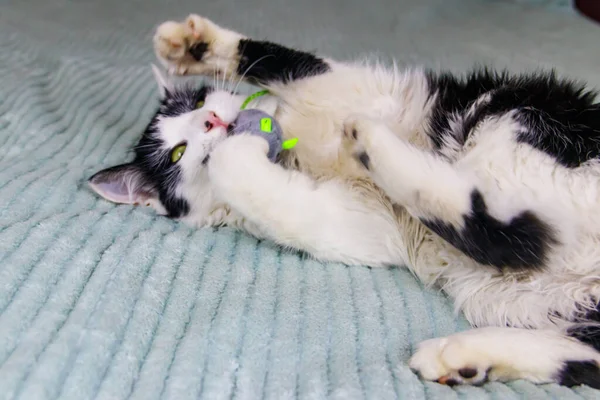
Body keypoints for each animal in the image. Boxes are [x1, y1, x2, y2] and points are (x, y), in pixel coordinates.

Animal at [88, 14, 600, 388]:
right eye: (176, 153)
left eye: (196, 102)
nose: (213, 120)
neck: (297, 150)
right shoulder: (351, 222)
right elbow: (273, 197)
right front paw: (233, 154)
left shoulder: (341, 83)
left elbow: (280, 59)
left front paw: (189, 44)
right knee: (529, 247)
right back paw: (462, 356)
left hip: (515, 116)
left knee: (517, 229)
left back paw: (371, 142)